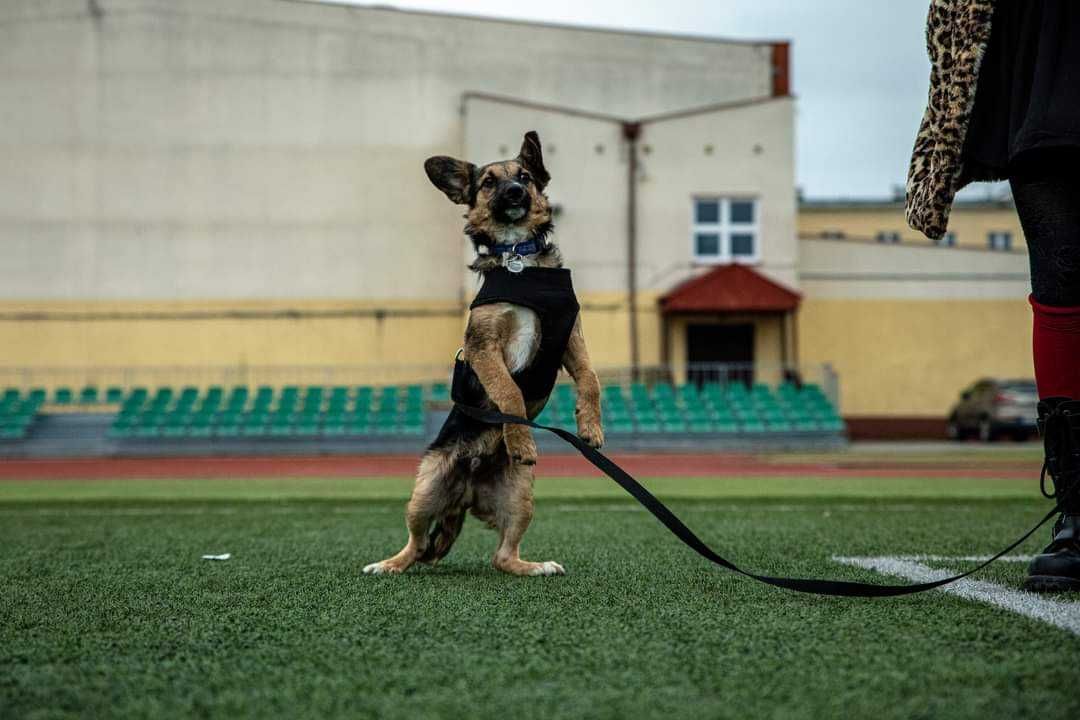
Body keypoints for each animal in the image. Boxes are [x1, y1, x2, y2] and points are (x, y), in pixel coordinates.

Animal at [360, 131, 600, 578]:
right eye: (488, 182)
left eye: (524, 176)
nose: (515, 192)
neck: (519, 258)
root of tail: (467, 494)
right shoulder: (483, 345)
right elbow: (509, 392)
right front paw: (520, 437)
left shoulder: (570, 337)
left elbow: (591, 379)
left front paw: (591, 427)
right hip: (425, 488)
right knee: (417, 545)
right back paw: (388, 564)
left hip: (520, 496)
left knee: (502, 556)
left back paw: (534, 566)